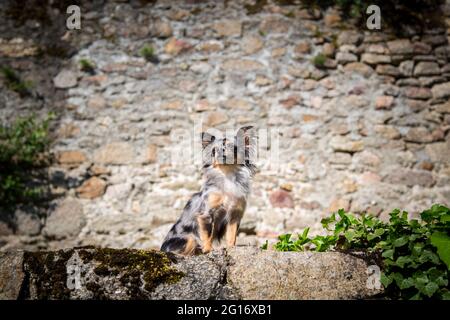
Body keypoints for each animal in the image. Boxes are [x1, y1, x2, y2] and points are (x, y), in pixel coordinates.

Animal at [161, 126, 256, 254]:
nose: (220, 152)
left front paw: (231, 248)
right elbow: (207, 234)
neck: (228, 176)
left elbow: (231, 235)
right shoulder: (206, 214)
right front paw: (208, 249)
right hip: (189, 239)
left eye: (233, 148)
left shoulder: (234, 215)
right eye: (214, 151)